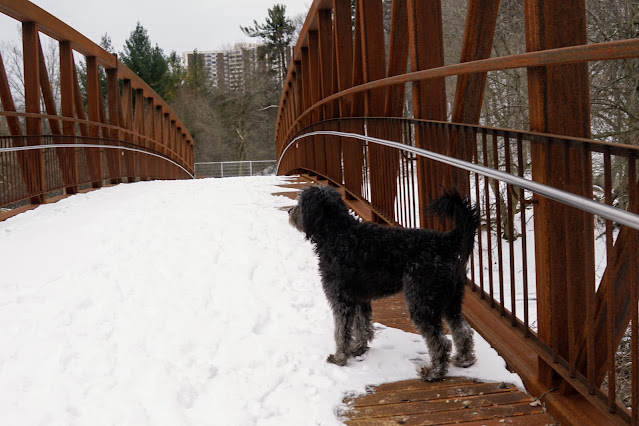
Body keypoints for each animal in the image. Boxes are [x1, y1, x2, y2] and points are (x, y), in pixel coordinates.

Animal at [290, 185, 480, 382]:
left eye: (300, 202)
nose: (289, 211)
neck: (337, 234)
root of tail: (444, 242)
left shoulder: (341, 300)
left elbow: (341, 332)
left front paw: (339, 358)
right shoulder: (359, 298)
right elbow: (362, 326)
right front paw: (359, 349)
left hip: (421, 302)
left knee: (441, 341)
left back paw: (434, 373)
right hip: (451, 301)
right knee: (463, 331)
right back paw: (464, 360)